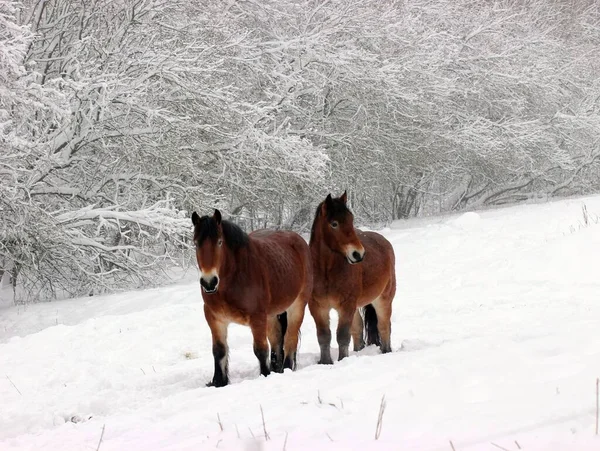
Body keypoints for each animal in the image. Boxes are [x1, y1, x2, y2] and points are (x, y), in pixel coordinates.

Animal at [191, 210, 314, 386]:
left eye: (219, 242)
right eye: (196, 243)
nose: (209, 282)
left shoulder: (257, 318)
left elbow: (260, 350)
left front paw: (265, 375)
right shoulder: (215, 318)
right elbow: (219, 351)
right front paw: (219, 382)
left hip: (296, 307)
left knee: (290, 339)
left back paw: (286, 368)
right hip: (271, 315)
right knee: (276, 340)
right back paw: (277, 369)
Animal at [308, 192, 396, 366]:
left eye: (351, 220)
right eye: (334, 224)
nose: (358, 254)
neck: (326, 272)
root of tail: (384, 242)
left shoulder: (346, 306)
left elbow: (342, 335)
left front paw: (342, 360)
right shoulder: (317, 307)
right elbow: (324, 336)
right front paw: (326, 362)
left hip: (383, 299)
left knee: (384, 326)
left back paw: (386, 351)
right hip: (355, 308)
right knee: (358, 329)